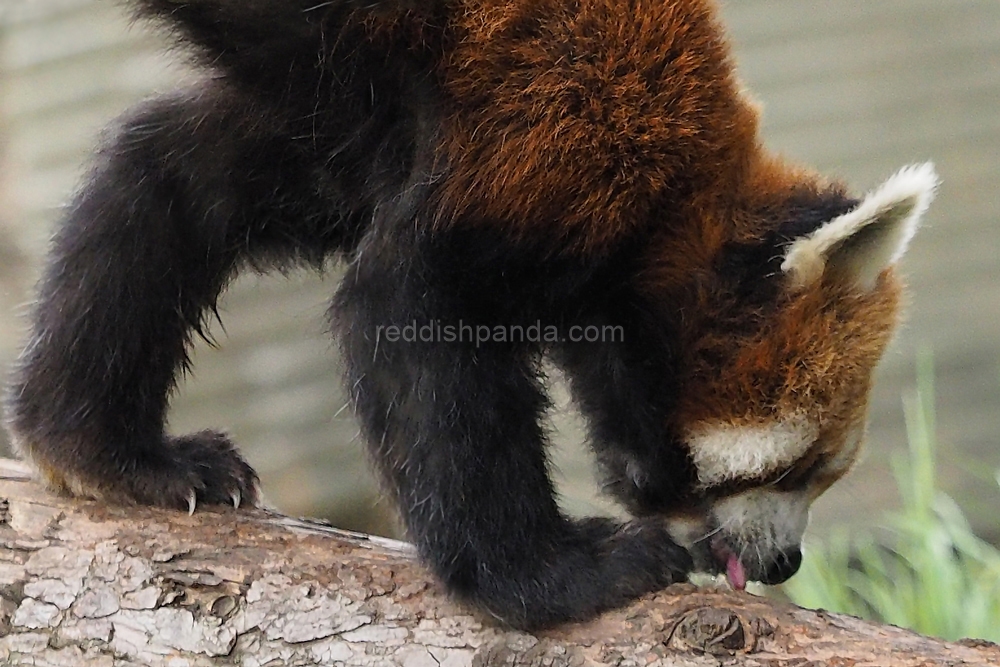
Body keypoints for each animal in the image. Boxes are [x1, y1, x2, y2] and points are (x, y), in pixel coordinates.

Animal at [1, 0, 936, 632]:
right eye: (800, 466)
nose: (788, 561)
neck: (666, 206)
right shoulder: (543, 123)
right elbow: (410, 317)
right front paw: (555, 577)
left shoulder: (355, 110)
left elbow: (170, 173)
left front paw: (107, 451)